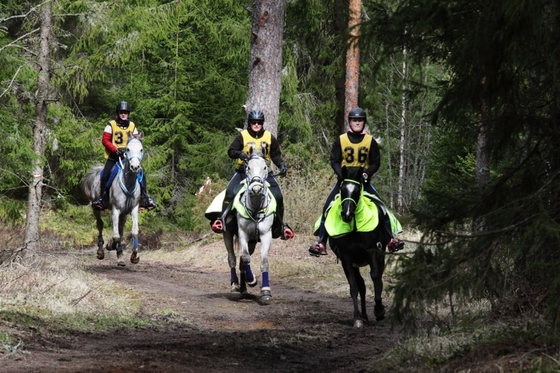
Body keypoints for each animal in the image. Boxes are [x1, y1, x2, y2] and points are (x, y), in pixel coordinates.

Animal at [83, 135, 145, 266]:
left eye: (141, 149)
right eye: (127, 149)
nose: (135, 167)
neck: (129, 183)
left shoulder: (133, 209)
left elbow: (134, 232)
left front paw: (134, 256)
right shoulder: (115, 210)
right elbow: (116, 236)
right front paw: (110, 245)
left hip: (124, 214)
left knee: (120, 229)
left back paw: (120, 257)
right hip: (96, 208)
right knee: (100, 224)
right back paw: (101, 251)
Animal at [223, 154, 276, 302]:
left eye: (265, 167)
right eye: (248, 168)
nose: (256, 188)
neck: (256, 207)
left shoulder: (266, 235)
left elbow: (264, 262)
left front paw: (265, 291)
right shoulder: (243, 234)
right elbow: (246, 258)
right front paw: (252, 280)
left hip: (252, 242)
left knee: (241, 262)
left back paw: (244, 289)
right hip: (228, 235)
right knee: (233, 259)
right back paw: (235, 286)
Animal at [326, 166, 388, 326]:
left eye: (357, 190)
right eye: (342, 189)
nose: (346, 214)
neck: (354, 228)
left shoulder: (372, 253)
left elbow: (375, 277)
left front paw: (379, 310)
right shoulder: (346, 258)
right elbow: (354, 287)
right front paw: (357, 318)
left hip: (380, 256)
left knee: (378, 277)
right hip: (355, 264)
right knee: (362, 285)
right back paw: (364, 316)